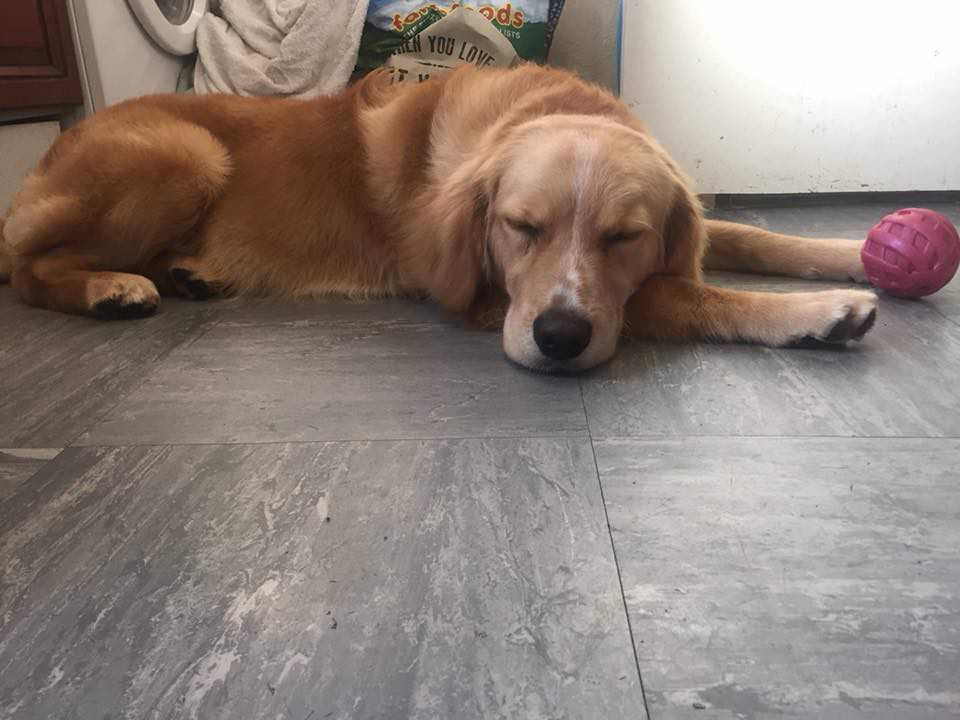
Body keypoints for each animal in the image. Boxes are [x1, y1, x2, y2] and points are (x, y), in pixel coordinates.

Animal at [0, 64, 876, 371]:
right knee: (26, 270)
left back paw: (188, 274)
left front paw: (853, 250)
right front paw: (818, 313)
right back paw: (110, 288)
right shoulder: (489, 297)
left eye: (624, 236)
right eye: (521, 227)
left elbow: (749, 234)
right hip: (189, 154)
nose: (560, 341)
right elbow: (684, 292)